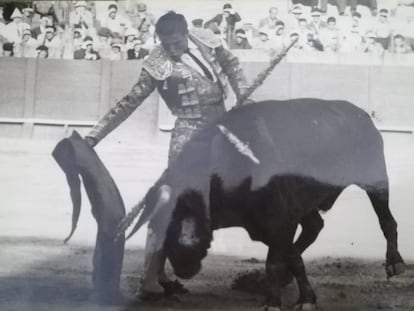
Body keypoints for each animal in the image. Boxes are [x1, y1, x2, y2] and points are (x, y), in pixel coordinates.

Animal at [119, 98, 404, 310]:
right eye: (163, 221)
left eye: (197, 208)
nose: (185, 261)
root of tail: (361, 113)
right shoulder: (266, 224)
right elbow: (291, 256)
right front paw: (301, 296)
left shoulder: (280, 218)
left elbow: (276, 261)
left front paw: (276, 302)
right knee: (314, 226)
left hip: (376, 178)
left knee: (386, 219)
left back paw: (395, 263)